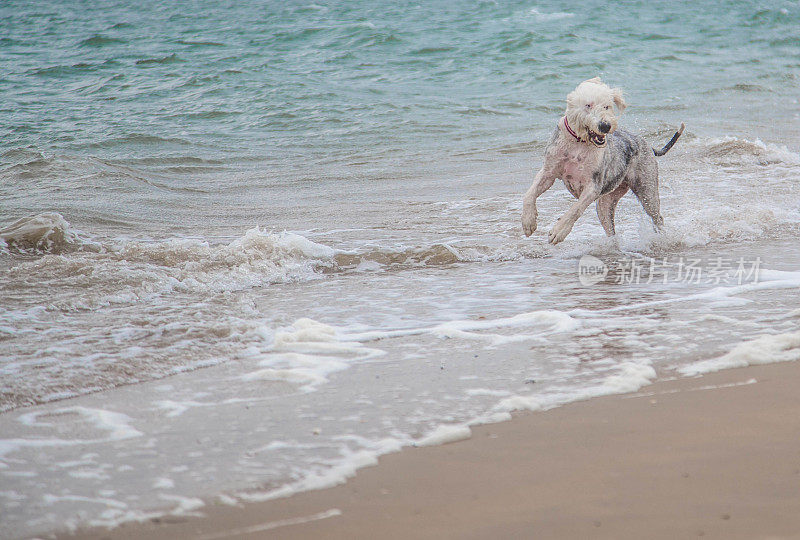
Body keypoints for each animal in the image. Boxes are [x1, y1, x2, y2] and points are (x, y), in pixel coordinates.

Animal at [520, 75, 684, 243]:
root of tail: (646, 143)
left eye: (607, 106)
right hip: (606, 203)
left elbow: (575, 209)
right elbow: (529, 194)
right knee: (610, 228)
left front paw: (559, 231)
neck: (578, 144)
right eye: (588, 105)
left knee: (657, 216)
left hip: (646, 188)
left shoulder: (593, 186)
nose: (605, 125)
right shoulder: (548, 172)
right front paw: (528, 221)